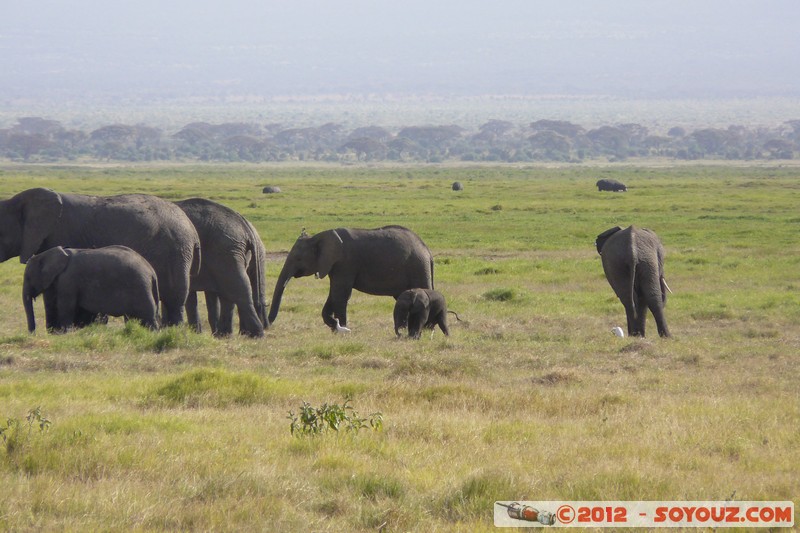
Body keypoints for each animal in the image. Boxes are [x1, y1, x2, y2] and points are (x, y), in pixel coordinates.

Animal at [23, 246, 159, 332]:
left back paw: (153, 334)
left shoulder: (68, 280)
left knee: (148, 317)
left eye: (28, 277)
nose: (33, 333)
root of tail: (152, 272)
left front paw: (65, 333)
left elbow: (65, 306)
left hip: (141, 287)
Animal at [174, 197, 268, 334]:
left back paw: (255, 334)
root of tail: (245, 226)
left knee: (238, 287)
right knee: (230, 291)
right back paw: (225, 334)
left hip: (226, 251)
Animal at [268, 224, 432, 328]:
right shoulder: (335, 266)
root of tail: (427, 251)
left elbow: (340, 294)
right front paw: (335, 326)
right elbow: (333, 294)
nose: (267, 324)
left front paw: (343, 328)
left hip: (418, 267)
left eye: (298, 259)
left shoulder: (345, 263)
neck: (318, 236)